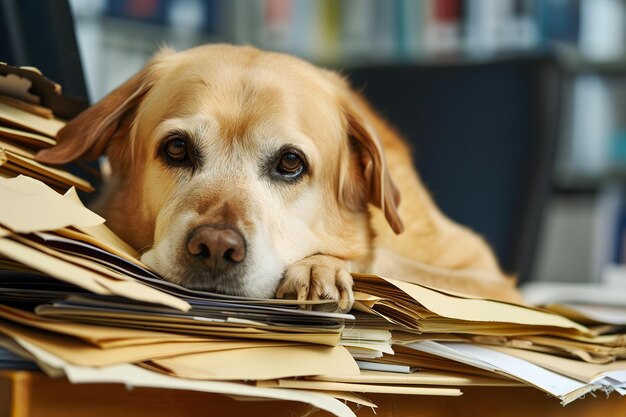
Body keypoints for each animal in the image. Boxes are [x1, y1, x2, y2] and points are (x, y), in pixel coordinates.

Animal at [36, 44, 520, 308]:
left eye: (290, 163)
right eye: (175, 148)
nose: (215, 248)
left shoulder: (494, 281)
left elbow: (378, 254)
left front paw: (321, 266)